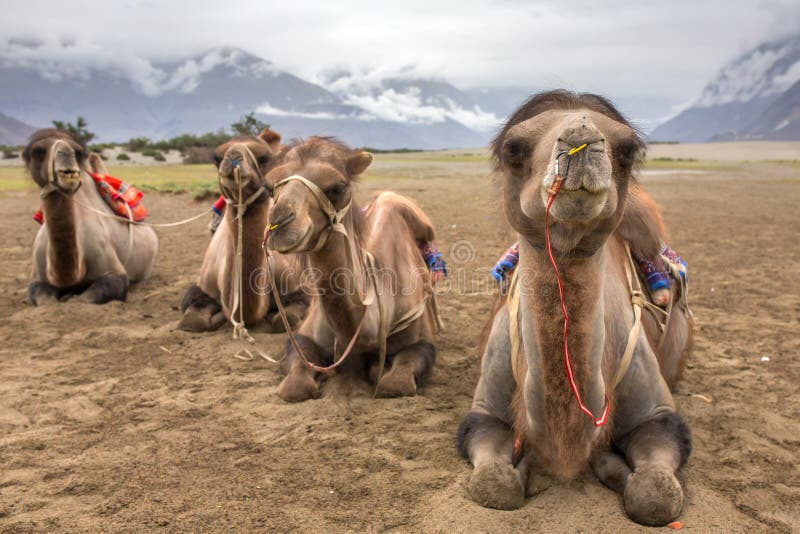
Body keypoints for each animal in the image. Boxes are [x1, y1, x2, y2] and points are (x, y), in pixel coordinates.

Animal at [24, 129, 159, 306]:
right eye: (38, 151)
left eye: (77, 152)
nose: (67, 154)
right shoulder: (37, 277)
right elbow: (46, 301)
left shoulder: (113, 270)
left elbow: (84, 299)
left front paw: (70, 297)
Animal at [180, 128, 308, 332]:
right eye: (216, 158)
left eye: (264, 158)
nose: (233, 157)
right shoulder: (202, 289)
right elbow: (193, 321)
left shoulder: (297, 288)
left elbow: (284, 320)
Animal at [264, 137, 438, 402]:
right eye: (269, 186)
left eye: (337, 187)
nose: (279, 223)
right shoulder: (304, 335)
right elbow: (294, 387)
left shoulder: (421, 341)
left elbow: (395, 383)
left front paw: (376, 368)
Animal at [456, 91, 692, 528]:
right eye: (513, 148)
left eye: (627, 149)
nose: (581, 144)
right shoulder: (484, 413)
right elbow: (493, 484)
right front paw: (526, 467)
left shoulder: (658, 415)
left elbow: (655, 495)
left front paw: (608, 464)